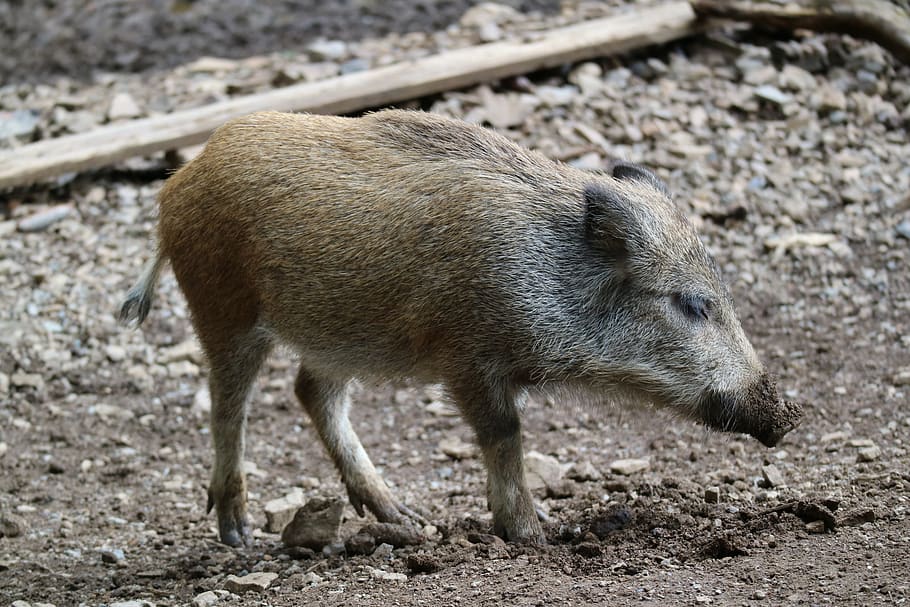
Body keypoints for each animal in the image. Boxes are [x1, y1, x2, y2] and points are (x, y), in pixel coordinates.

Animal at [120, 110, 802, 546]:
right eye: (692, 304)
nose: (788, 416)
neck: (549, 276)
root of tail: (176, 186)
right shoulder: (467, 356)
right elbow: (505, 435)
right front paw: (535, 536)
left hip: (335, 332)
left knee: (311, 393)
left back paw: (405, 519)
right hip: (224, 308)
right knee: (228, 404)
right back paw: (238, 537)